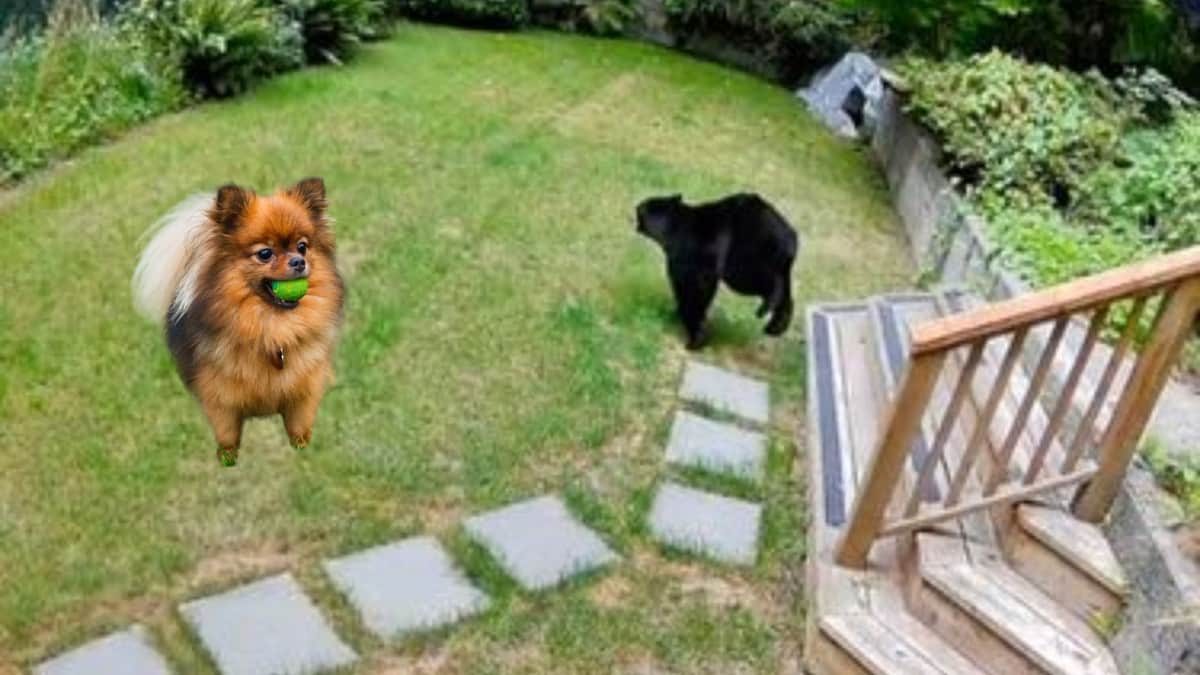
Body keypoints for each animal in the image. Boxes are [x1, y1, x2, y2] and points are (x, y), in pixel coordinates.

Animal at [636, 192, 799, 350]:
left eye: (643, 208)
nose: (636, 206)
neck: (674, 230)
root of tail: (792, 240)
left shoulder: (694, 261)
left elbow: (693, 294)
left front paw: (695, 339)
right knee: (786, 295)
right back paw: (775, 327)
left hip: (745, 259)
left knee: (773, 285)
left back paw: (766, 310)